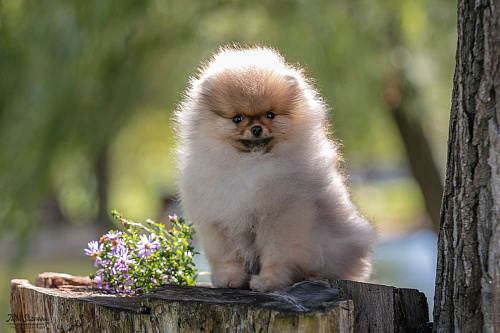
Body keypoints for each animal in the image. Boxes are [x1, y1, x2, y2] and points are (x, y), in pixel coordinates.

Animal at [176, 44, 376, 290]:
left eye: (270, 115)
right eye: (237, 118)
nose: (256, 129)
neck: (250, 164)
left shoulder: (281, 219)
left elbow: (277, 256)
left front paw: (269, 282)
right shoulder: (218, 221)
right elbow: (226, 257)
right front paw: (229, 280)